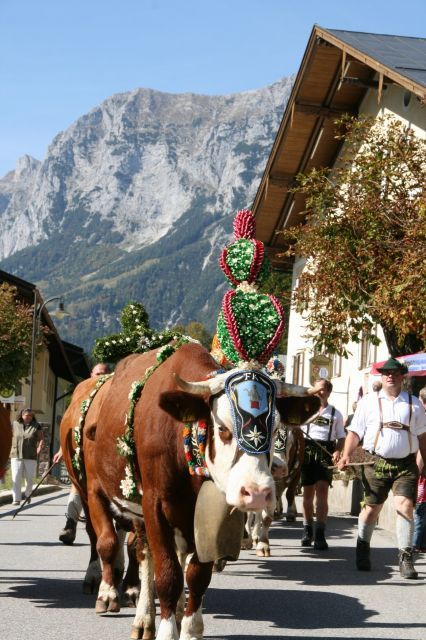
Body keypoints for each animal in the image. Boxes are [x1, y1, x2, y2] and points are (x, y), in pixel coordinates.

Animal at [93, 341, 320, 640]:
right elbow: (167, 575)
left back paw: (179, 610)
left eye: (275, 430)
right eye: (222, 429)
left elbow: (197, 576)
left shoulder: (209, 516)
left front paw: (190, 628)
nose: (257, 492)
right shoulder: (154, 508)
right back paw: (144, 619)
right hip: (136, 509)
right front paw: (167, 630)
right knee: (144, 555)